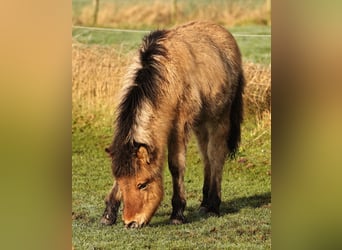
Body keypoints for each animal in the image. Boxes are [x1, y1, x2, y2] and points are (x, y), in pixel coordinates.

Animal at [100, 21, 244, 229]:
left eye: (142, 184)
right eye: (121, 182)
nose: (131, 222)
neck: (166, 75)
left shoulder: (179, 127)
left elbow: (176, 166)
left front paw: (177, 213)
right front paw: (108, 214)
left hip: (219, 119)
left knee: (216, 156)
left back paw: (214, 205)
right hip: (201, 124)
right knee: (206, 157)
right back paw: (204, 204)